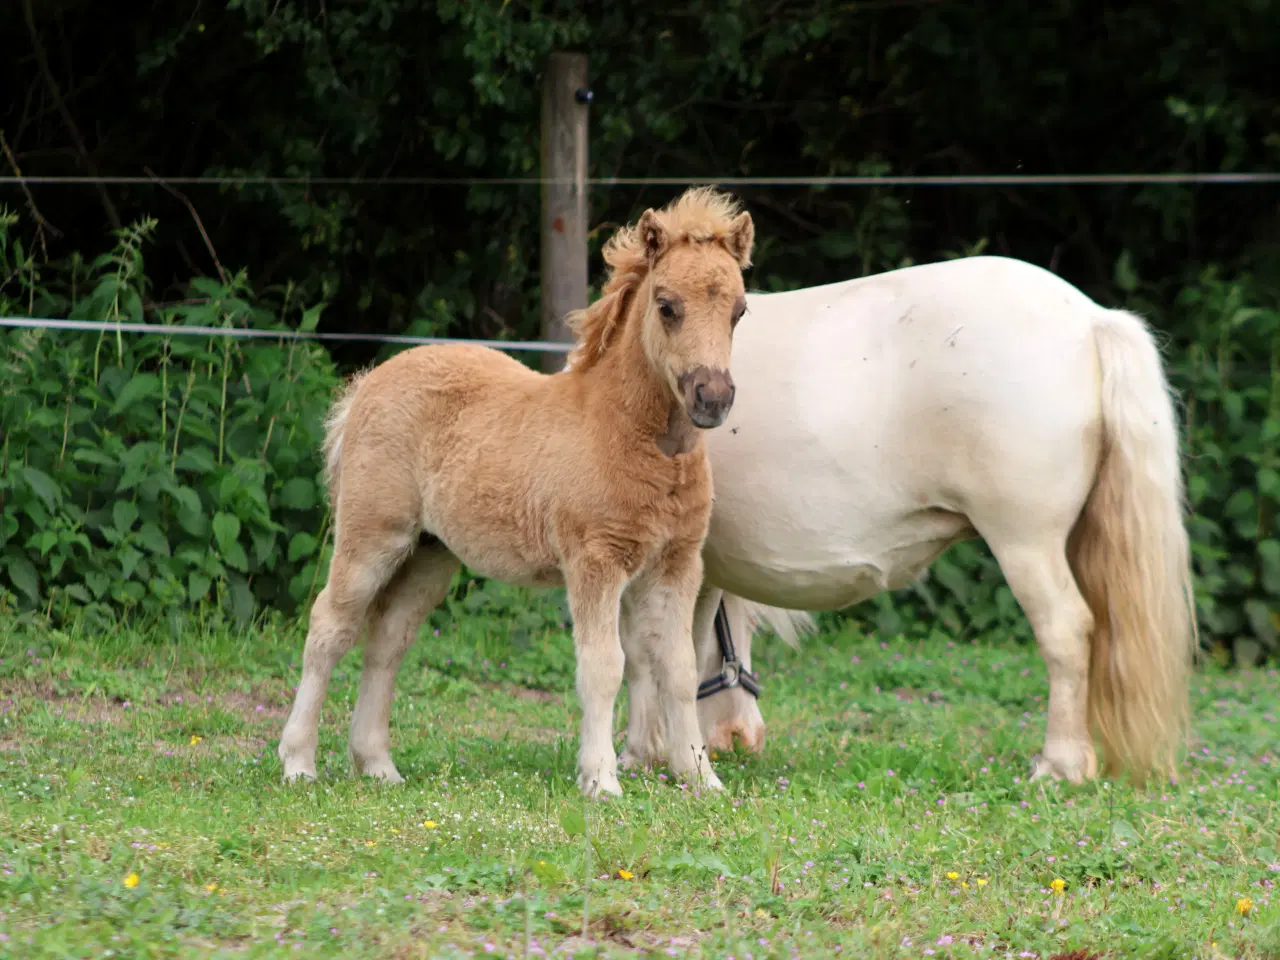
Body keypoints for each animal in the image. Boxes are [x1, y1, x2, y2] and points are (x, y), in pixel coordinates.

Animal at [276, 185, 752, 798]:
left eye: (739, 310)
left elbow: (679, 669)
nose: (711, 398)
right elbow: (603, 667)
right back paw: (297, 761)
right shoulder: (594, 562)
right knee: (329, 627)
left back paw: (378, 764)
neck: (630, 435)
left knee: (388, 639)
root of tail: (366, 385)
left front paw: (700, 776)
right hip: (373, 535)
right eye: (667, 306)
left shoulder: (676, 565)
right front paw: (601, 779)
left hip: (431, 553)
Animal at [619, 256, 1198, 788]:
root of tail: (1092, 319)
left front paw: (638, 753)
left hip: (1025, 543)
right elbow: (678, 647)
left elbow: (644, 650)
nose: (738, 739)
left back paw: (1060, 767)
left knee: (1066, 632)